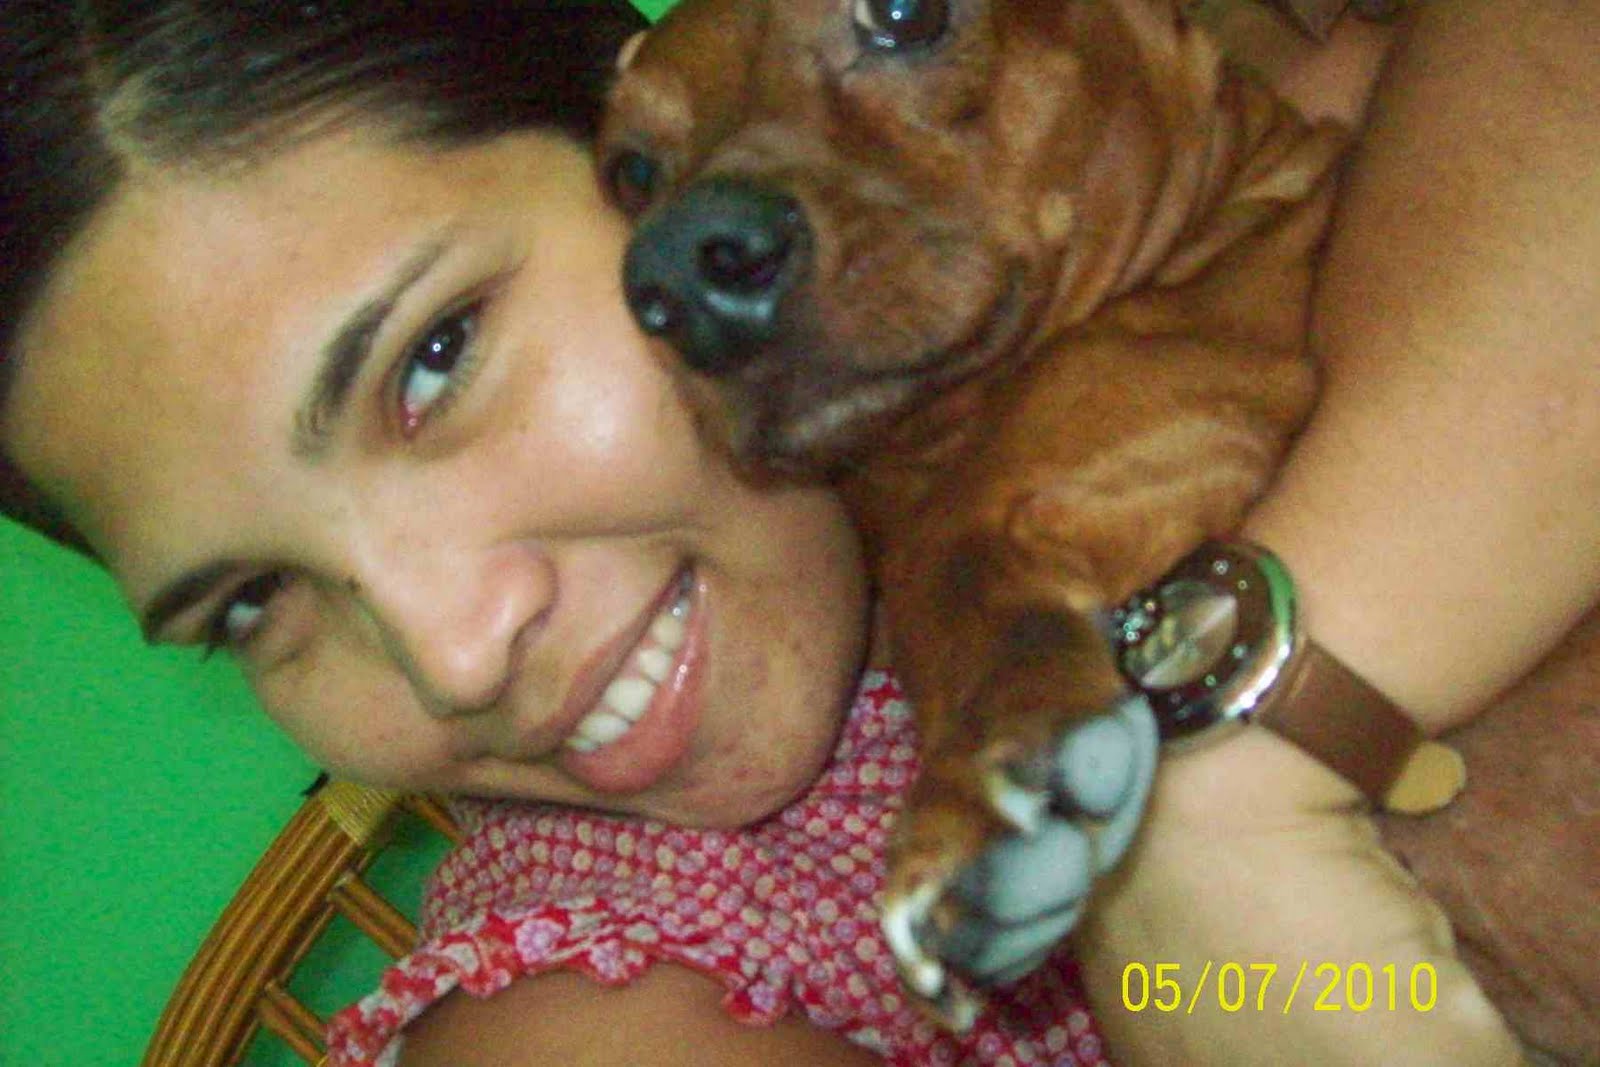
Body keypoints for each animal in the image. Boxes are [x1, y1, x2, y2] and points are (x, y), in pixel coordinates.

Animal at [598, 0, 1349, 1027]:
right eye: (629, 172)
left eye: (902, 13)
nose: (672, 269)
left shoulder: (1159, 412)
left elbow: (945, 552)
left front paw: (979, 779)